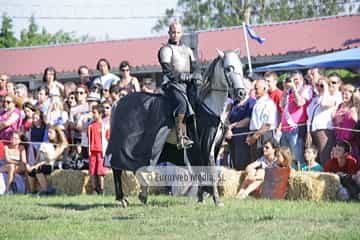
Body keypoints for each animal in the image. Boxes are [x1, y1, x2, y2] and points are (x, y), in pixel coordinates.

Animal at [105, 48, 249, 206]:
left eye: (241, 68)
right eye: (229, 68)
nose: (241, 93)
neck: (209, 106)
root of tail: (117, 103)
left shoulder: (214, 146)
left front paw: (201, 197)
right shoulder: (205, 146)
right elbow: (210, 169)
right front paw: (217, 200)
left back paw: (142, 195)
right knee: (117, 168)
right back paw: (122, 198)